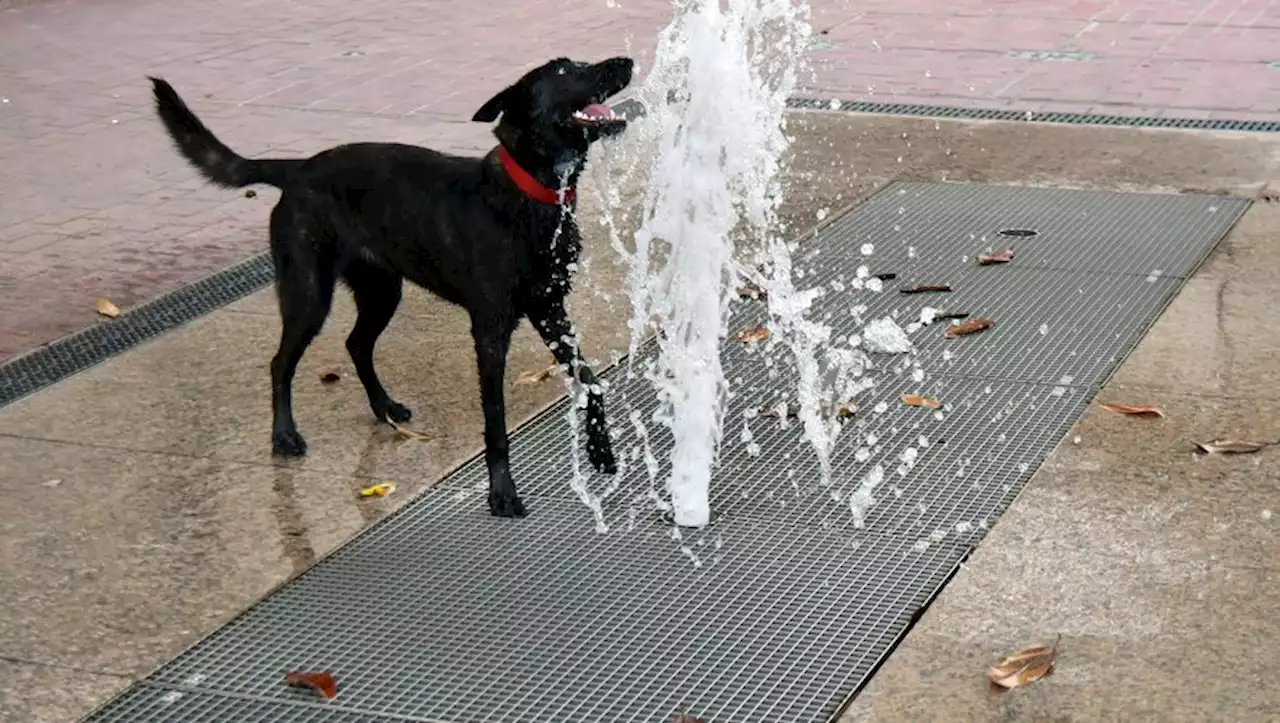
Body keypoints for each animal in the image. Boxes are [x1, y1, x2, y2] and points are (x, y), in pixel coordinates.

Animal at [152, 57, 632, 519]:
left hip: (381, 291)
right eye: (566, 70)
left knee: (356, 344)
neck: (529, 194)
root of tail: (297, 169)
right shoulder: (490, 331)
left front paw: (601, 449)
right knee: (280, 364)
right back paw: (284, 435)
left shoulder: (550, 309)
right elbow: (495, 422)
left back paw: (383, 407)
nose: (625, 62)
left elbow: (591, 380)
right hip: (309, 294)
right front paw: (501, 492)